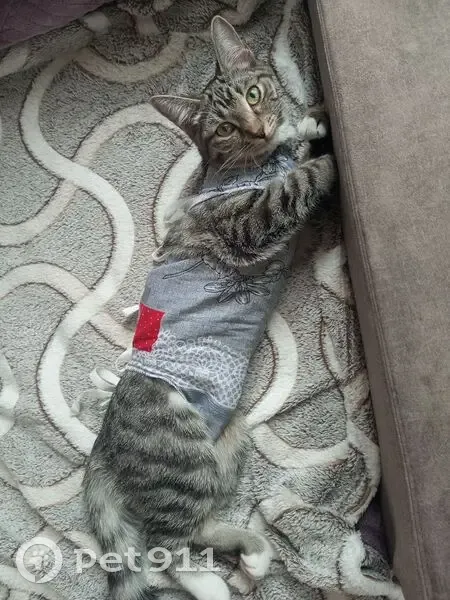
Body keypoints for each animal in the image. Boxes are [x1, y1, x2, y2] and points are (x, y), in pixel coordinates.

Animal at [83, 15, 336, 600]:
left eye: (253, 93)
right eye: (223, 128)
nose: (258, 129)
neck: (251, 164)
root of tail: (104, 447)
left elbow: (298, 150)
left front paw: (310, 120)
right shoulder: (249, 220)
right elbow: (300, 180)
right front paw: (327, 153)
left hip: (229, 441)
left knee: (200, 526)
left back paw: (256, 555)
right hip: (180, 456)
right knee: (168, 550)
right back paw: (218, 582)